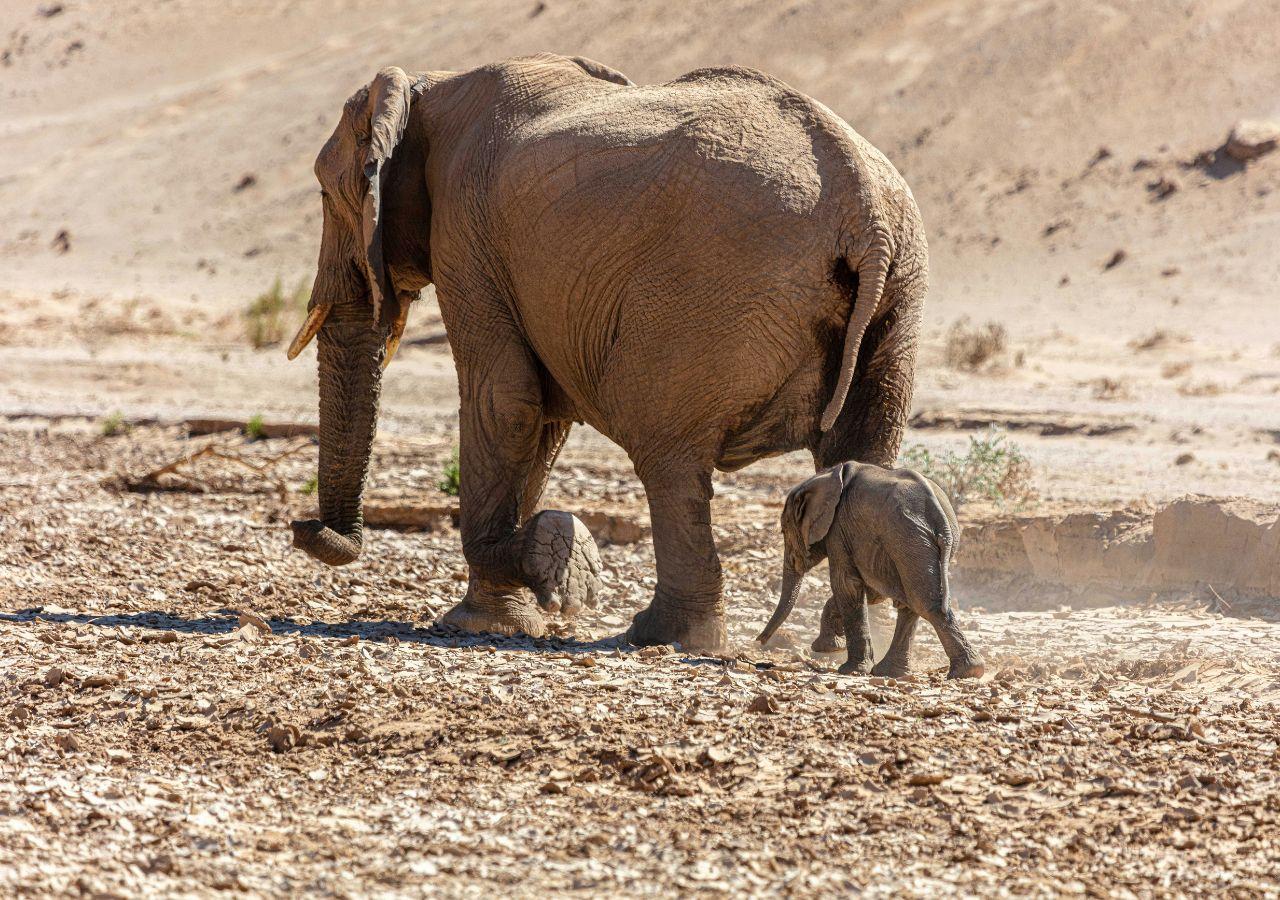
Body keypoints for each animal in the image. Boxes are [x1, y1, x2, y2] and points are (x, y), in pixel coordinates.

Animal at [285, 53, 930, 652]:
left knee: (667, 458)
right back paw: (836, 645)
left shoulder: (466, 234)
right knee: (861, 451)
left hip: (710, 298)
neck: (431, 84)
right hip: (900, 298)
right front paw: (511, 609)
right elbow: (542, 419)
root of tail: (865, 211)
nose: (304, 527)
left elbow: (505, 401)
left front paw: (541, 574)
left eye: (325, 192)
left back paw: (661, 635)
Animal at [757, 462, 984, 679]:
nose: (760, 640)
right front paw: (829, 648)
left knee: (923, 601)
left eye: (783, 530)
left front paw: (848, 668)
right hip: (919, 540)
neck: (825, 476)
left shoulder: (838, 528)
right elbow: (871, 591)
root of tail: (941, 519)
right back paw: (893, 672)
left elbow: (847, 585)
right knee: (911, 599)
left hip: (907, 537)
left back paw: (966, 672)